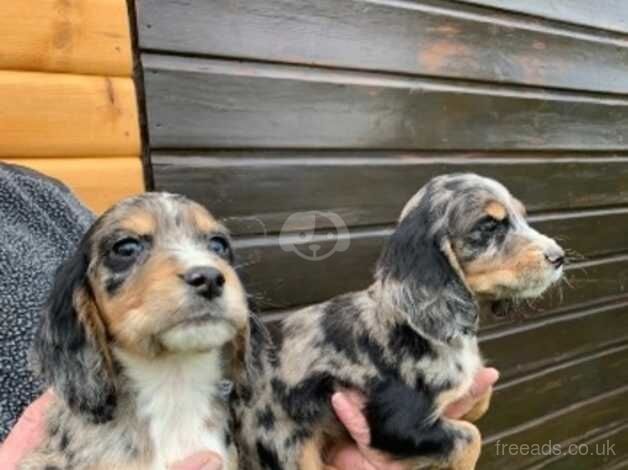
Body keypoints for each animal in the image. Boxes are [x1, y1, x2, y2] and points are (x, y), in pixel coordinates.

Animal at [234, 173, 564, 470]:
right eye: (489, 225)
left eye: (523, 217)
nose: (559, 257)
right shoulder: (397, 424)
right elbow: (471, 437)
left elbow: (478, 404)